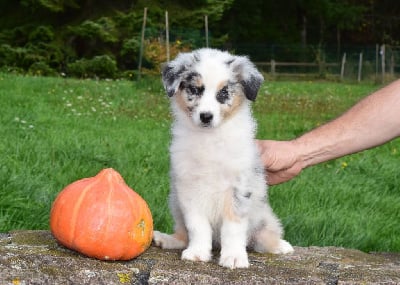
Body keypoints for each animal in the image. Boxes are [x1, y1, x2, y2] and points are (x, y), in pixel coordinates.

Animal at [153, 47, 294, 268]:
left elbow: (233, 228)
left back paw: (280, 245)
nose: (206, 116)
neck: (210, 138)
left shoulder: (238, 187)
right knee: (183, 233)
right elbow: (197, 225)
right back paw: (166, 239)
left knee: (264, 236)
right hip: (175, 203)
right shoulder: (188, 188)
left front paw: (234, 257)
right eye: (195, 90)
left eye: (223, 93)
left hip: (262, 217)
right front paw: (198, 252)